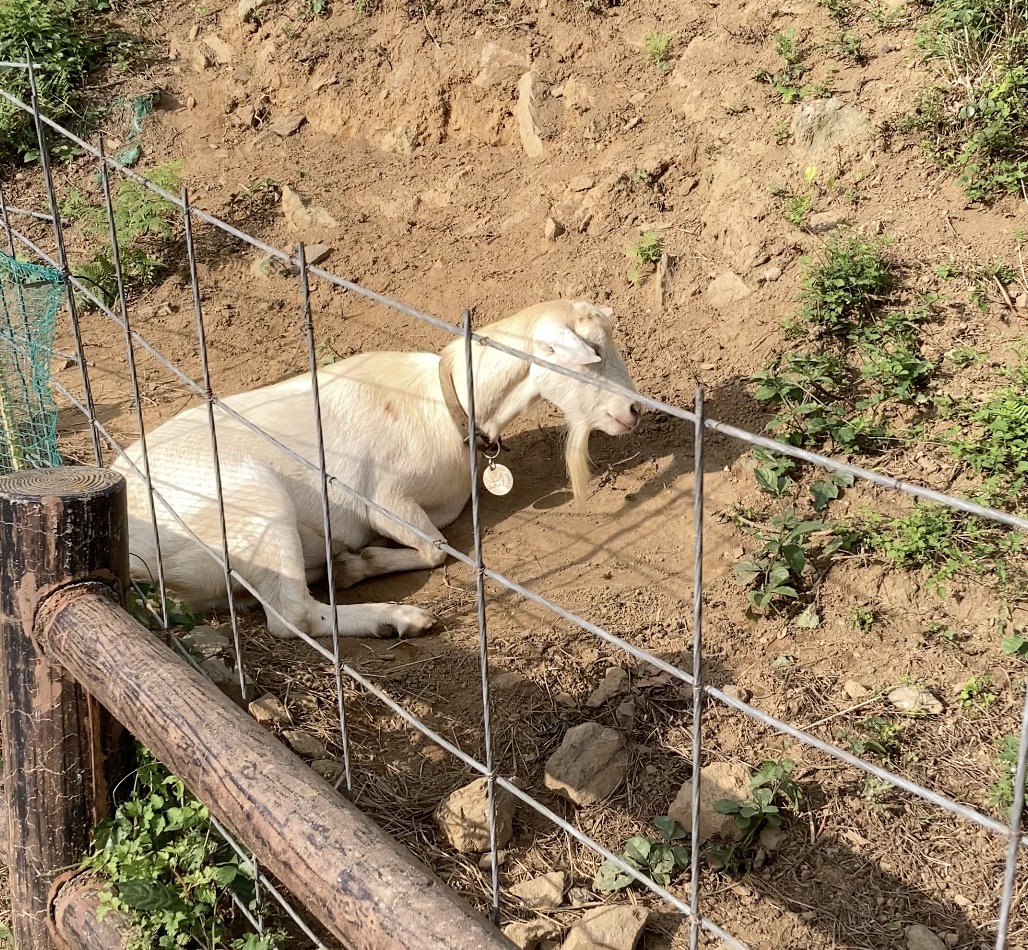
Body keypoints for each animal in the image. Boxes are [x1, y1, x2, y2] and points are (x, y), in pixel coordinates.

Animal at [114, 298, 641, 637]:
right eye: (593, 353)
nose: (634, 410)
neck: (445, 403)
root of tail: (135, 554)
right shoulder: (382, 498)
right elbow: (437, 549)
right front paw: (357, 563)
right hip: (253, 503)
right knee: (292, 619)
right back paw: (396, 615)